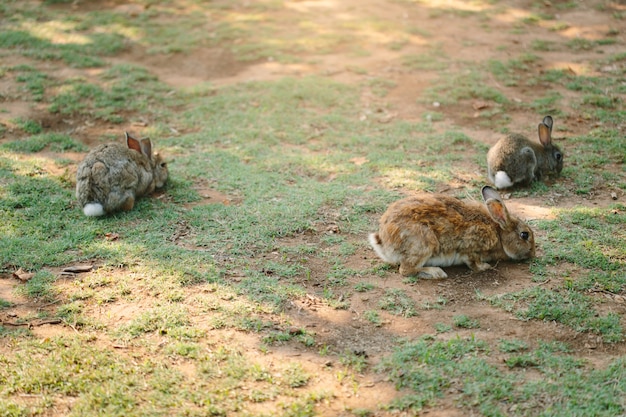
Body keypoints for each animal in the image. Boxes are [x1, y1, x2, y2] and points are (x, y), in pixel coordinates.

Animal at [368, 186, 532, 278]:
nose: (533, 254)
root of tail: (383, 241)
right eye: (525, 235)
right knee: (406, 270)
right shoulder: (472, 247)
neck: (499, 233)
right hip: (423, 244)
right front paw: (485, 267)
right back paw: (436, 273)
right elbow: (473, 262)